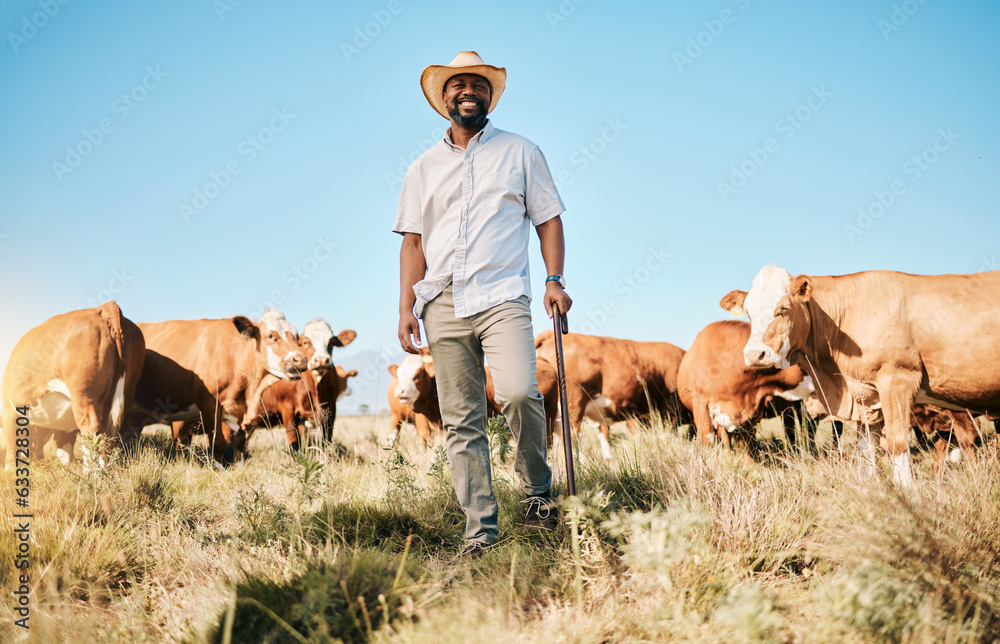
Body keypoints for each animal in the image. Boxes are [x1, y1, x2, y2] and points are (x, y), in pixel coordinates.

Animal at [0, 302, 145, 472]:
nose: (37, 457)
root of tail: (103, 308)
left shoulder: (9, 410)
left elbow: (11, 443)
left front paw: (10, 470)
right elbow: (64, 448)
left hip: (83, 395)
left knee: (93, 432)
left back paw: (92, 473)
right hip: (125, 394)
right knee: (112, 436)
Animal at [131, 306, 306, 462]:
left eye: (296, 336)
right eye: (270, 335)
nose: (300, 359)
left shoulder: (239, 412)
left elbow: (239, 445)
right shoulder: (209, 405)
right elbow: (217, 444)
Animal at [724, 266, 1000, 488]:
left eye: (783, 309)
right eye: (748, 313)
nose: (754, 355)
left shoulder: (898, 381)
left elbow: (898, 441)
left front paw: (907, 490)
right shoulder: (866, 398)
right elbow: (867, 447)